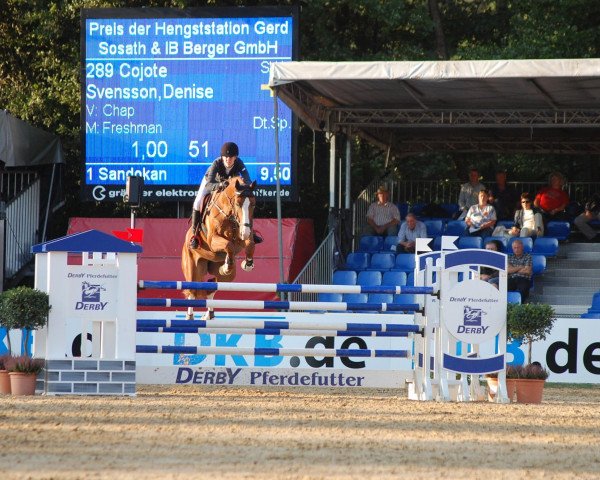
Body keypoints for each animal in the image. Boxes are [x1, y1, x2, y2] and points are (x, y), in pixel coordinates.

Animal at [183, 176, 258, 318]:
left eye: (253, 204)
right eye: (238, 204)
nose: (245, 231)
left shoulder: (241, 238)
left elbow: (249, 244)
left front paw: (247, 264)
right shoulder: (213, 240)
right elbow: (228, 245)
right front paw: (227, 265)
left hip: (225, 276)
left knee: (212, 285)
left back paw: (209, 314)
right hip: (193, 268)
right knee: (192, 291)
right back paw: (189, 317)